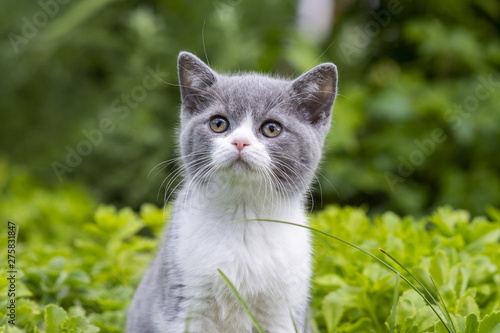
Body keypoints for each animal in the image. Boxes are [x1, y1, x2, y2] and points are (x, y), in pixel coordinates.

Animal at [128, 52, 340, 332]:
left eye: (271, 128)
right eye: (219, 123)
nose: (240, 141)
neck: (243, 218)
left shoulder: (285, 309)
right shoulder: (183, 299)